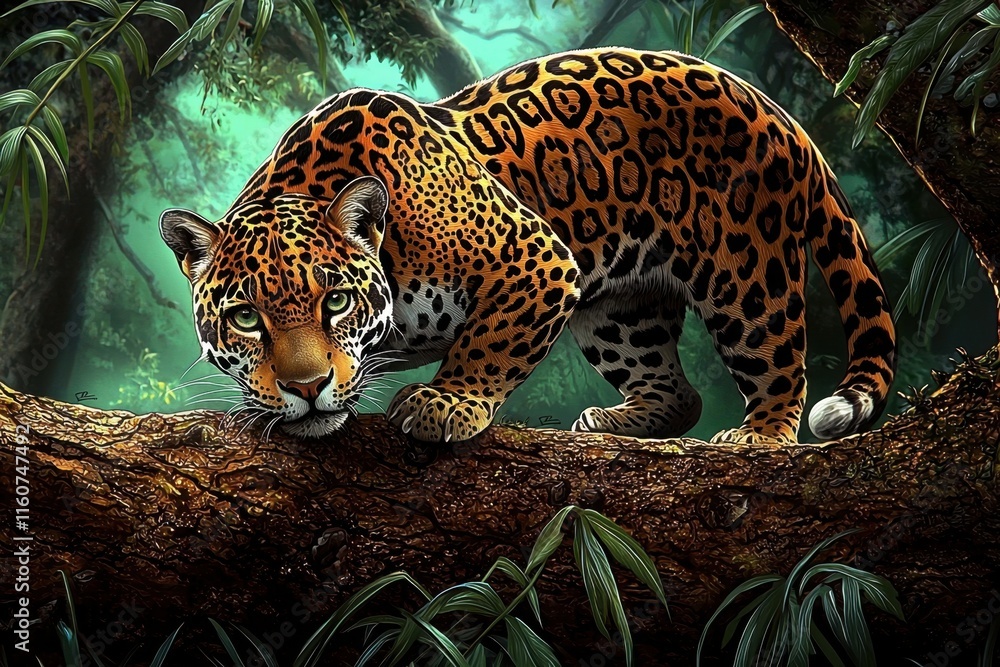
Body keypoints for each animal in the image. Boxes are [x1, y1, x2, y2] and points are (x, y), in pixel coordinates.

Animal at [160, 47, 897, 445]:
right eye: (245, 317)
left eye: (336, 301)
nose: (307, 388)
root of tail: (779, 114)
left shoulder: (537, 256)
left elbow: (486, 345)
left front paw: (444, 403)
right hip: (621, 311)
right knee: (678, 391)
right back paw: (617, 420)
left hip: (748, 277)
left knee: (779, 366)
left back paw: (758, 436)